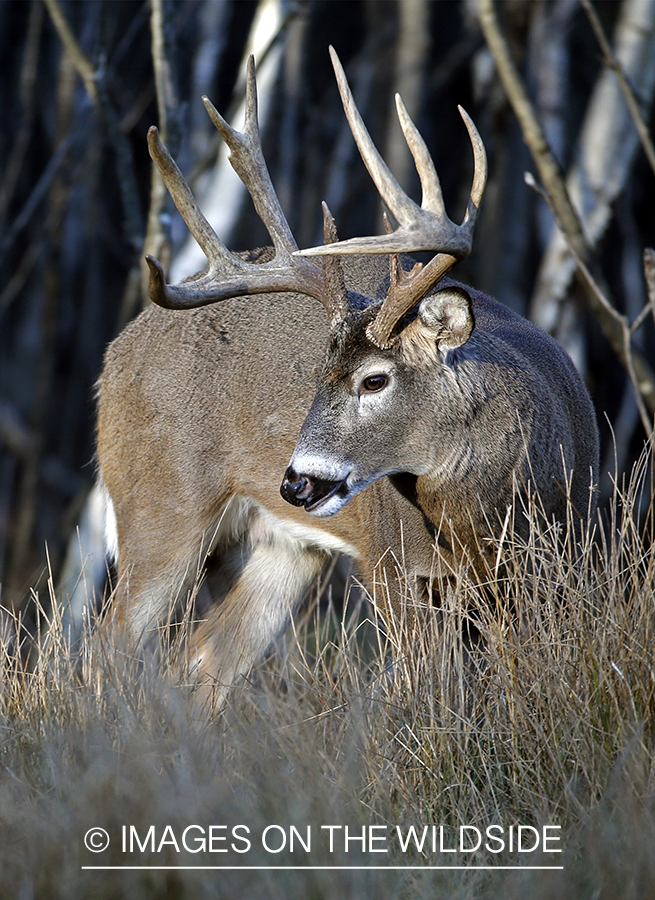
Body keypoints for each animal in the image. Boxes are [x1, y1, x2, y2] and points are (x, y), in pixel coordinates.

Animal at [95, 49, 604, 712]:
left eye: (374, 380)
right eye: (316, 375)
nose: (297, 482)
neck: (485, 514)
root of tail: (115, 355)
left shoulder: (563, 560)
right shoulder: (393, 566)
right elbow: (423, 689)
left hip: (287, 546)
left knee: (204, 657)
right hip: (160, 497)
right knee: (106, 649)